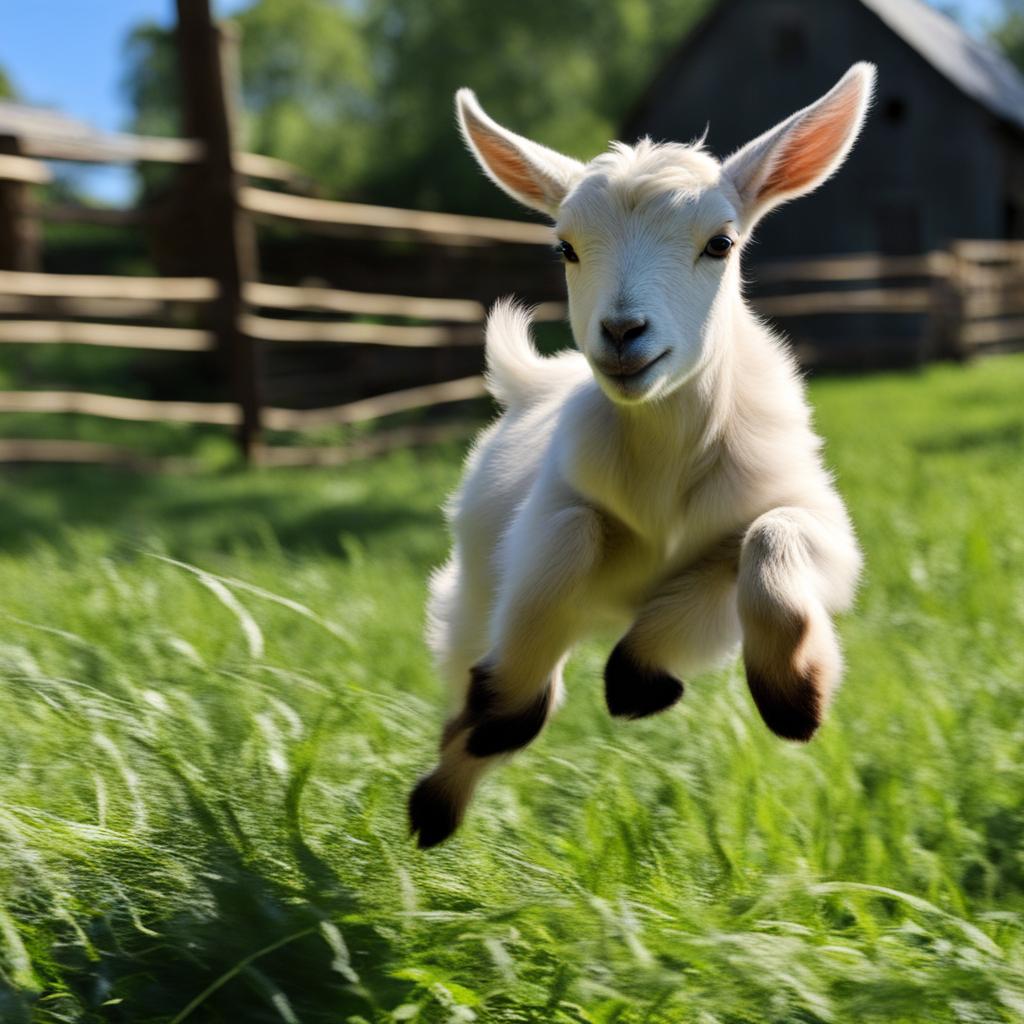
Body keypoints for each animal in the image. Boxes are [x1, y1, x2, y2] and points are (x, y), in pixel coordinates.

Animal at [407, 61, 872, 847]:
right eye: (564, 248)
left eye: (721, 243)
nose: (624, 332)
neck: (665, 464)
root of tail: (534, 380)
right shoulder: (552, 514)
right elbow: (564, 544)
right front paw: (503, 714)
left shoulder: (812, 520)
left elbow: (764, 547)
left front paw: (788, 696)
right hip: (470, 586)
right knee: (469, 675)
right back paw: (438, 800)